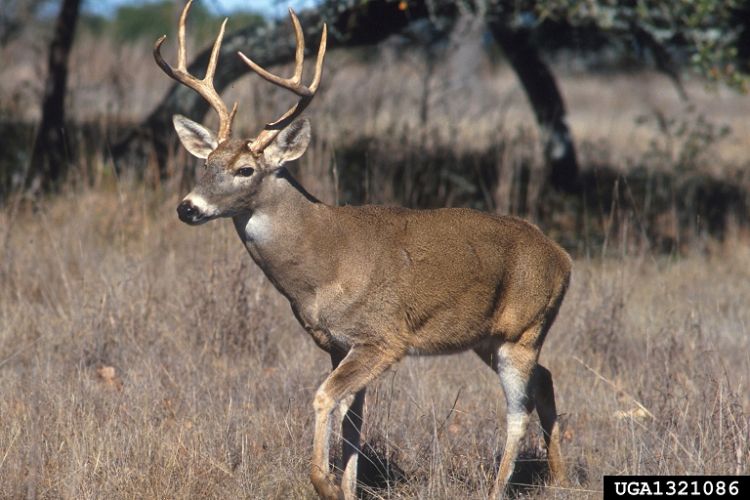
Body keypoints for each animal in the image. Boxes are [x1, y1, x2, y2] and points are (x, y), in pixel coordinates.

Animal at [154, 2, 572, 498]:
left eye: (245, 169)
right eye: (205, 164)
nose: (187, 207)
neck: (322, 265)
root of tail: (564, 258)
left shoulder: (383, 337)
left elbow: (324, 398)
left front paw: (326, 484)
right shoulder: (338, 344)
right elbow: (352, 421)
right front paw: (347, 487)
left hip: (523, 330)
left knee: (518, 411)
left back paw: (498, 488)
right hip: (489, 338)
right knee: (545, 381)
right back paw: (560, 477)